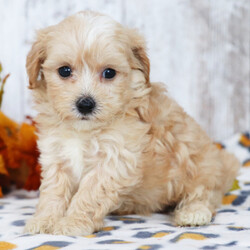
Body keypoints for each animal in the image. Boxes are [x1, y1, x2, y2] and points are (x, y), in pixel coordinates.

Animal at [24, 10, 240, 236]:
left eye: (109, 73)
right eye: (64, 71)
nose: (85, 104)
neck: (84, 131)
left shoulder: (115, 160)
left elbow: (89, 193)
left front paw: (73, 222)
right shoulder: (56, 156)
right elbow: (53, 192)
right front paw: (44, 220)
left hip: (199, 166)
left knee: (206, 194)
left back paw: (193, 213)